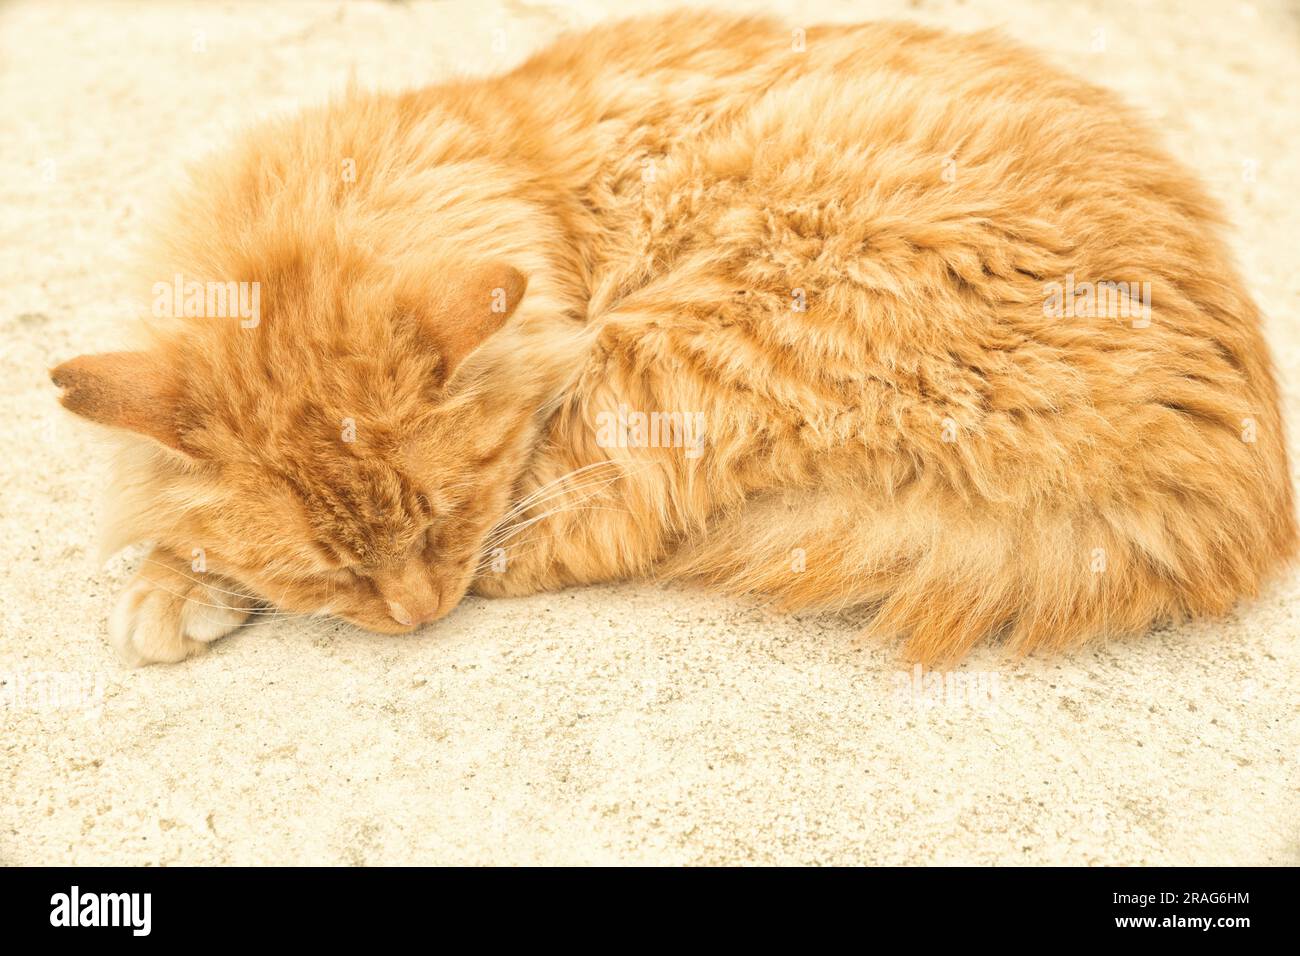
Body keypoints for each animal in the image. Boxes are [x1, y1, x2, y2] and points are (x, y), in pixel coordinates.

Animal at [48, 11, 1289, 665]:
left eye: (440, 520)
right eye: (326, 568)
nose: (413, 616)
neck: (517, 175)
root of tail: (1239, 496)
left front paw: (177, 576)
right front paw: (178, 571)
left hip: (700, 322)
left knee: (606, 522)